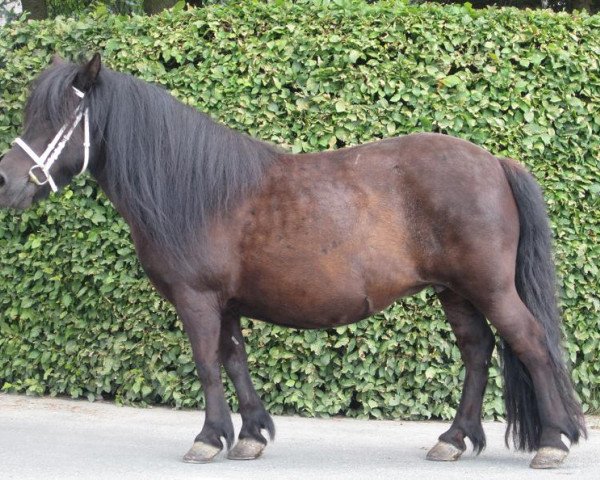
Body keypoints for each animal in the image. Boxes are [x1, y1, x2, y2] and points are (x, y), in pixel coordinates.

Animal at [0, 56, 584, 468]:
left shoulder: (197, 300)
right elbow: (234, 360)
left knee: (530, 344)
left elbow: (207, 364)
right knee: (478, 351)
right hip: (454, 291)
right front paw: (251, 435)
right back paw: (453, 439)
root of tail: (496, 161)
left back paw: (552, 443)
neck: (194, 190)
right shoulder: (226, 303)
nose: (6, 183)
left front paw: (208, 438)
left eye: (56, 119)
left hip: (489, 288)